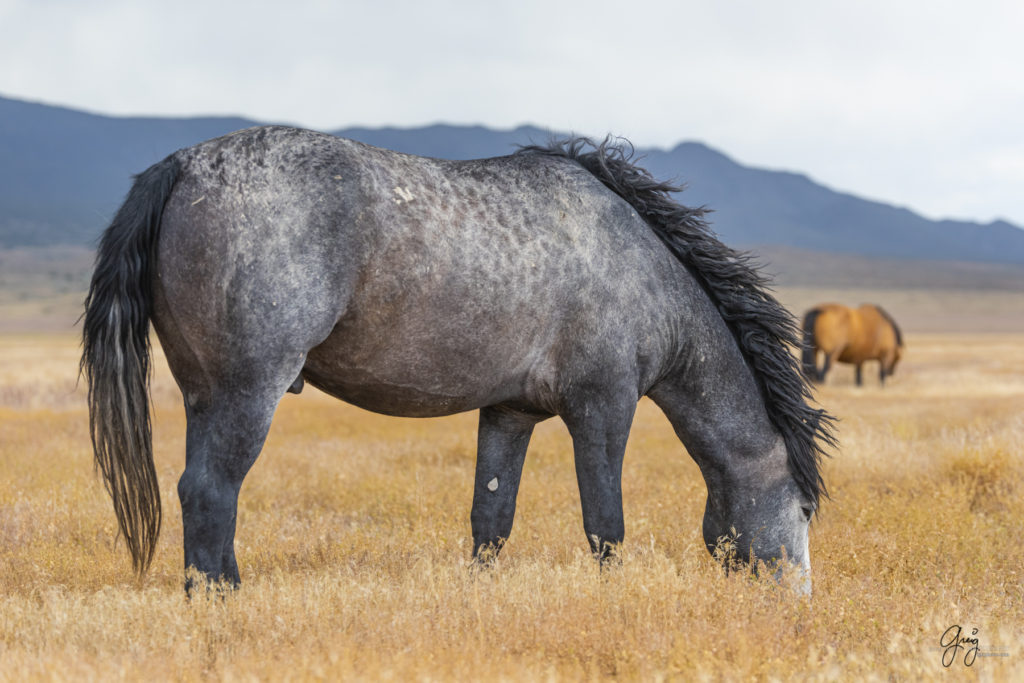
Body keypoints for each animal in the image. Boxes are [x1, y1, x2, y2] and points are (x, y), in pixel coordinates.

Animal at [79, 126, 835, 593]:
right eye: (802, 508)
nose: (797, 606)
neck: (639, 264)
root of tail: (180, 166)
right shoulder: (603, 407)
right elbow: (606, 527)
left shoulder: (510, 413)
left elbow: (490, 520)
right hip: (246, 392)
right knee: (211, 492)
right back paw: (224, 603)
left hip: (203, 396)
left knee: (198, 493)